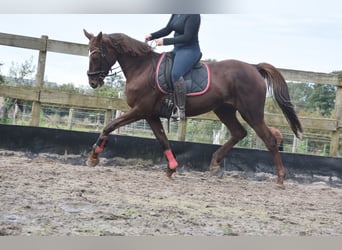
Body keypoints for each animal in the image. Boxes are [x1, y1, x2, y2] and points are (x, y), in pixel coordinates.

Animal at [83, 29, 302, 188]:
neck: (141, 68)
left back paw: (280, 179)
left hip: (252, 112)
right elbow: (162, 140)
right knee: (239, 132)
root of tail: (253, 67)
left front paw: (93, 156)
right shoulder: (151, 114)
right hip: (224, 110)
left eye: (96, 54)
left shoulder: (140, 109)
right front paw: (171, 168)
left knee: (270, 140)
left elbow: (110, 125)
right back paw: (215, 162)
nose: (93, 82)